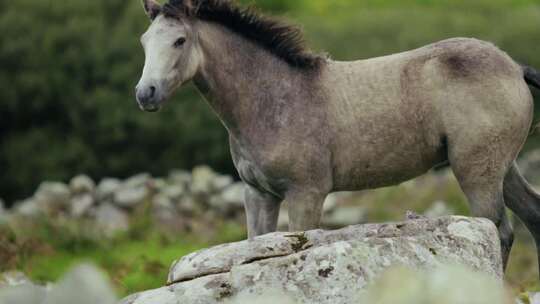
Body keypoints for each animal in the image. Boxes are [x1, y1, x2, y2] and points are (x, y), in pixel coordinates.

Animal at [136, 0, 540, 270]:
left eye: (180, 40)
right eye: (144, 40)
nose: (145, 94)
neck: (277, 98)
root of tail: (514, 67)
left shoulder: (306, 194)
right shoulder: (258, 195)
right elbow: (254, 247)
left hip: (475, 170)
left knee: (498, 231)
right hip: (502, 168)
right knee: (532, 216)